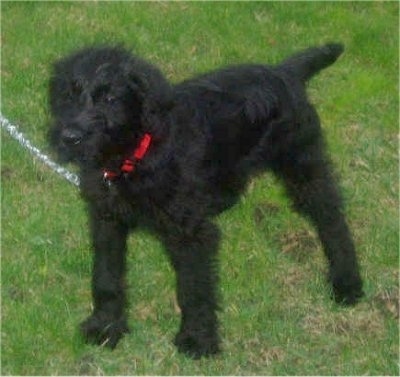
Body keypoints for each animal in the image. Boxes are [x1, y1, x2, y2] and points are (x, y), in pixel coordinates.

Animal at [48, 42, 364, 356]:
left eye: (111, 98)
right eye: (68, 95)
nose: (69, 137)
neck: (138, 155)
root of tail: (284, 72)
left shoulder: (190, 233)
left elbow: (193, 286)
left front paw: (196, 339)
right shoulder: (107, 219)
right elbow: (106, 275)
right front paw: (105, 326)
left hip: (303, 166)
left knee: (332, 219)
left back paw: (347, 284)